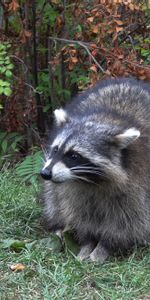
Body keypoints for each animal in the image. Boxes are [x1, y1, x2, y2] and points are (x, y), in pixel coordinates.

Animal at [39, 77, 150, 262]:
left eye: (74, 155)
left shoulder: (139, 181)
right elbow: (80, 214)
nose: (45, 173)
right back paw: (59, 226)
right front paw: (87, 243)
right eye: (55, 150)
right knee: (53, 197)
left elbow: (129, 220)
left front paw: (104, 247)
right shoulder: (73, 189)